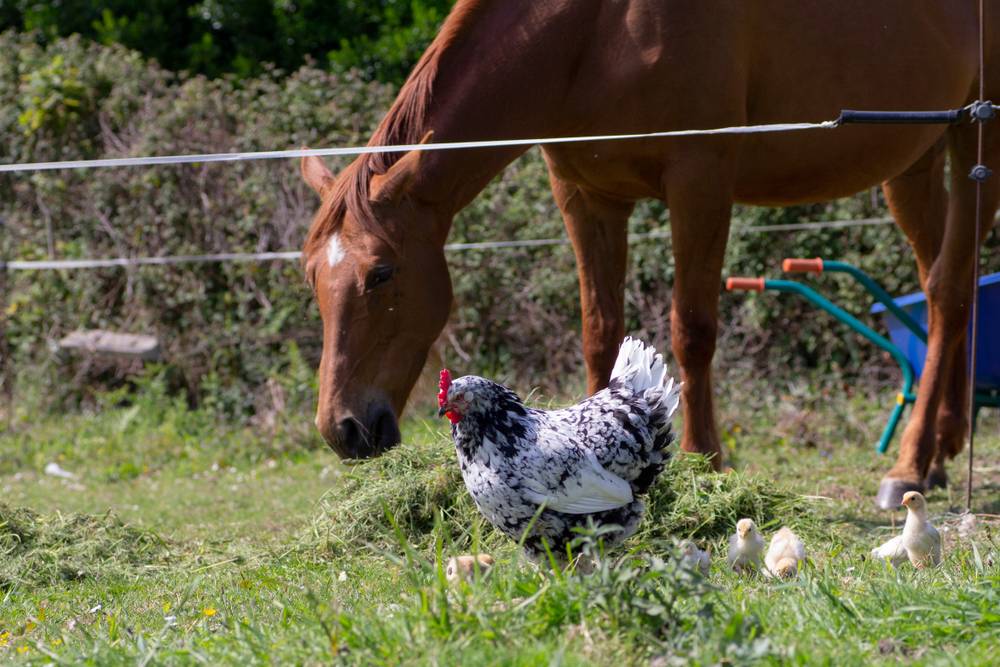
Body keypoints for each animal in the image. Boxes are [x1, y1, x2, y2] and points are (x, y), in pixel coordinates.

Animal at [302, 0, 1000, 508]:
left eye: (381, 274)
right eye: (312, 279)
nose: (342, 429)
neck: (597, 30)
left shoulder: (699, 178)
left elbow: (692, 329)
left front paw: (704, 461)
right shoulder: (587, 197)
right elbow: (599, 331)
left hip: (977, 141)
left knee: (948, 289)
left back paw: (910, 465)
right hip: (913, 162)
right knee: (944, 283)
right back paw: (943, 447)